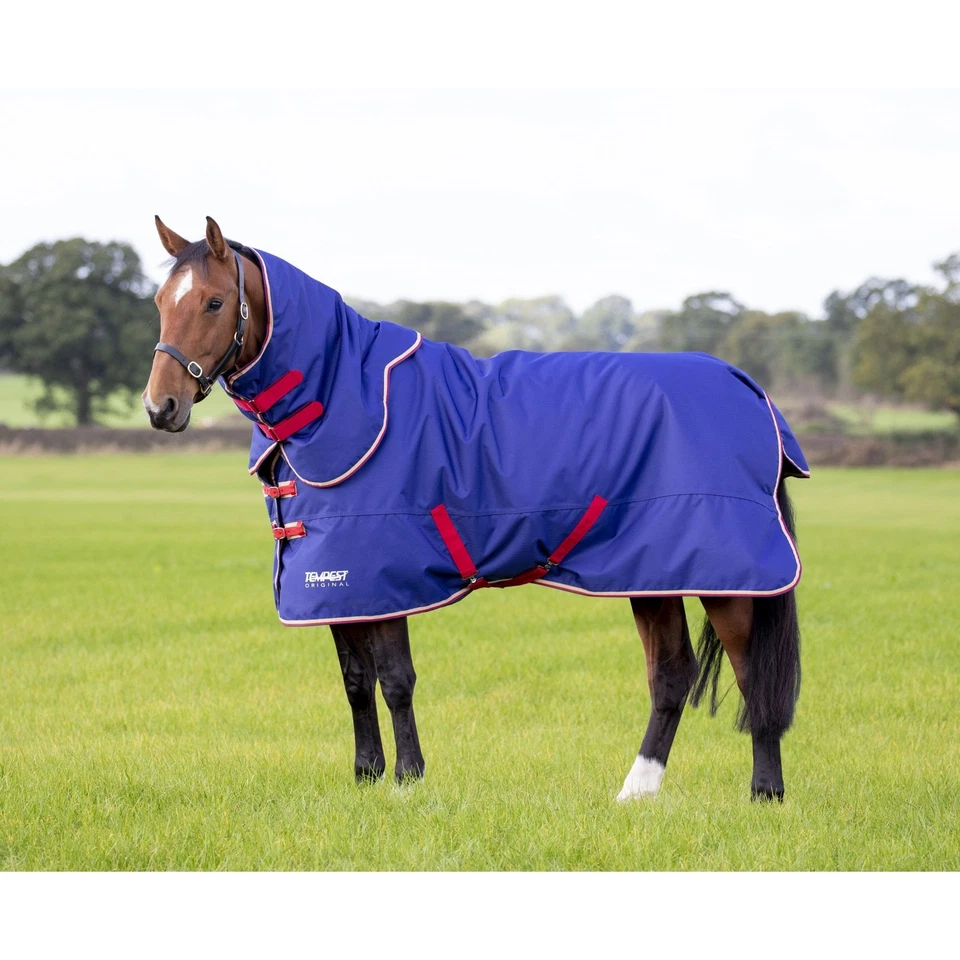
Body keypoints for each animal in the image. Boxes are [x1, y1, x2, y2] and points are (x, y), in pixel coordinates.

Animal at [143, 216, 806, 801]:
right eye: (159, 302)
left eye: (212, 302)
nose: (159, 407)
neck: (339, 398)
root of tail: (750, 390)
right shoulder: (337, 583)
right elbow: (356, 682)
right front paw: (366, 775)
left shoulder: (384, 577)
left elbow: (395, 680)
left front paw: (408, 779)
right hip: (652, 573)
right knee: (671, 675)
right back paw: (636, 792)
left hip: (727, 578)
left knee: (753, 675)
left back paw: (765, 791)